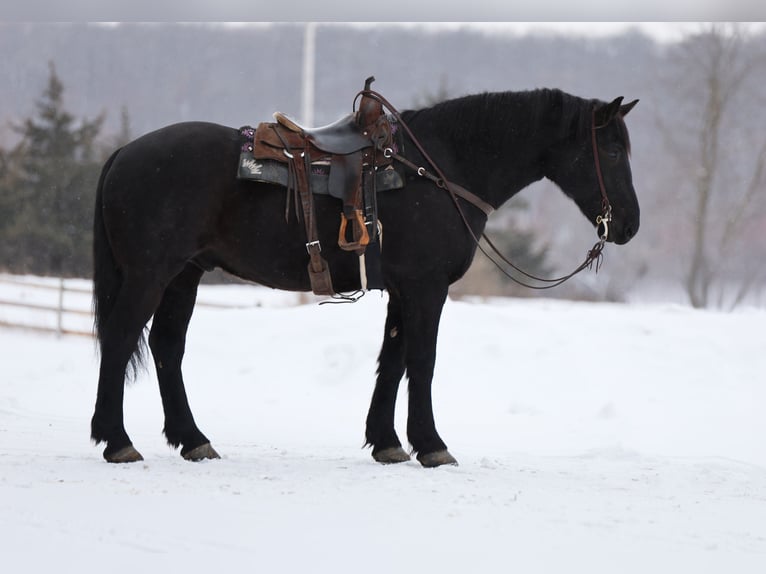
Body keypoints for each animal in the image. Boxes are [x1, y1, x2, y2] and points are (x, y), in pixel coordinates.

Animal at [90, 86, 640, 466]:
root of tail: (124, 154)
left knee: (166, 347)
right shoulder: (426, 288)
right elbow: (422, 362)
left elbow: (391, 362)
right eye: (613, 152)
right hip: (150, 274)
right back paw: (116, 441)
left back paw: (193, 440)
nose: (629, 225)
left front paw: (387, 442)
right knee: (120, 339)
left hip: (184, 276)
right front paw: (431, 445)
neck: (440, 170)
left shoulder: (403, 291)